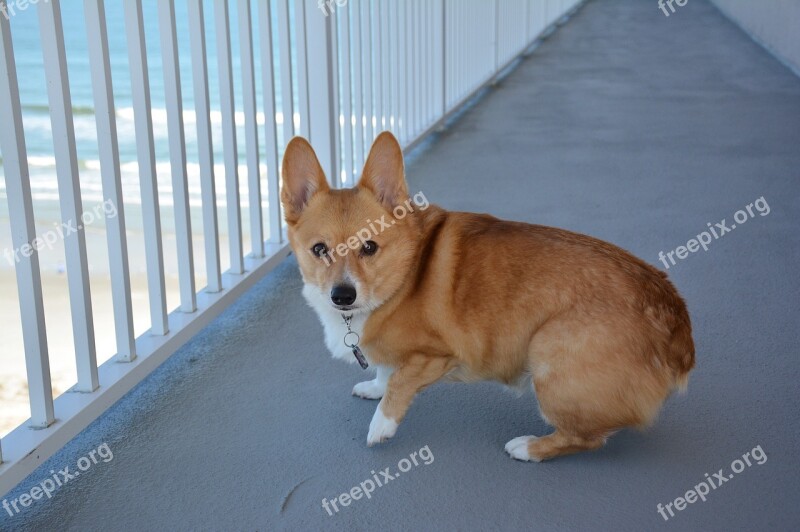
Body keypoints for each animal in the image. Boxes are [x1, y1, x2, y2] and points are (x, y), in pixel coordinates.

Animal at [282, 131, 692, 460]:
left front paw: (379, 426)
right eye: (319, 250)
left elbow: (397, 384)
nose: (342, 295)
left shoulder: (437, 356)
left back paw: (528, 448)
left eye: (369, 247)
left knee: (587, 437)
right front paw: (373, 388)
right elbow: (385, 372)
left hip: (546, 350)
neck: (401, 274)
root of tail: (675, 319)